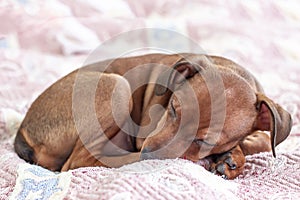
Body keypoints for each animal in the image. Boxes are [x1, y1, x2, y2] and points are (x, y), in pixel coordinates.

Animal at [13, 53, 290, 180]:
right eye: (174, 109)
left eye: (204, 141)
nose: (148, 153)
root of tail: (22, 133)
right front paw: (228, 157)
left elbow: (262, 140)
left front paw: (231, 158)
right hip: (117, 87)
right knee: (79, 161)